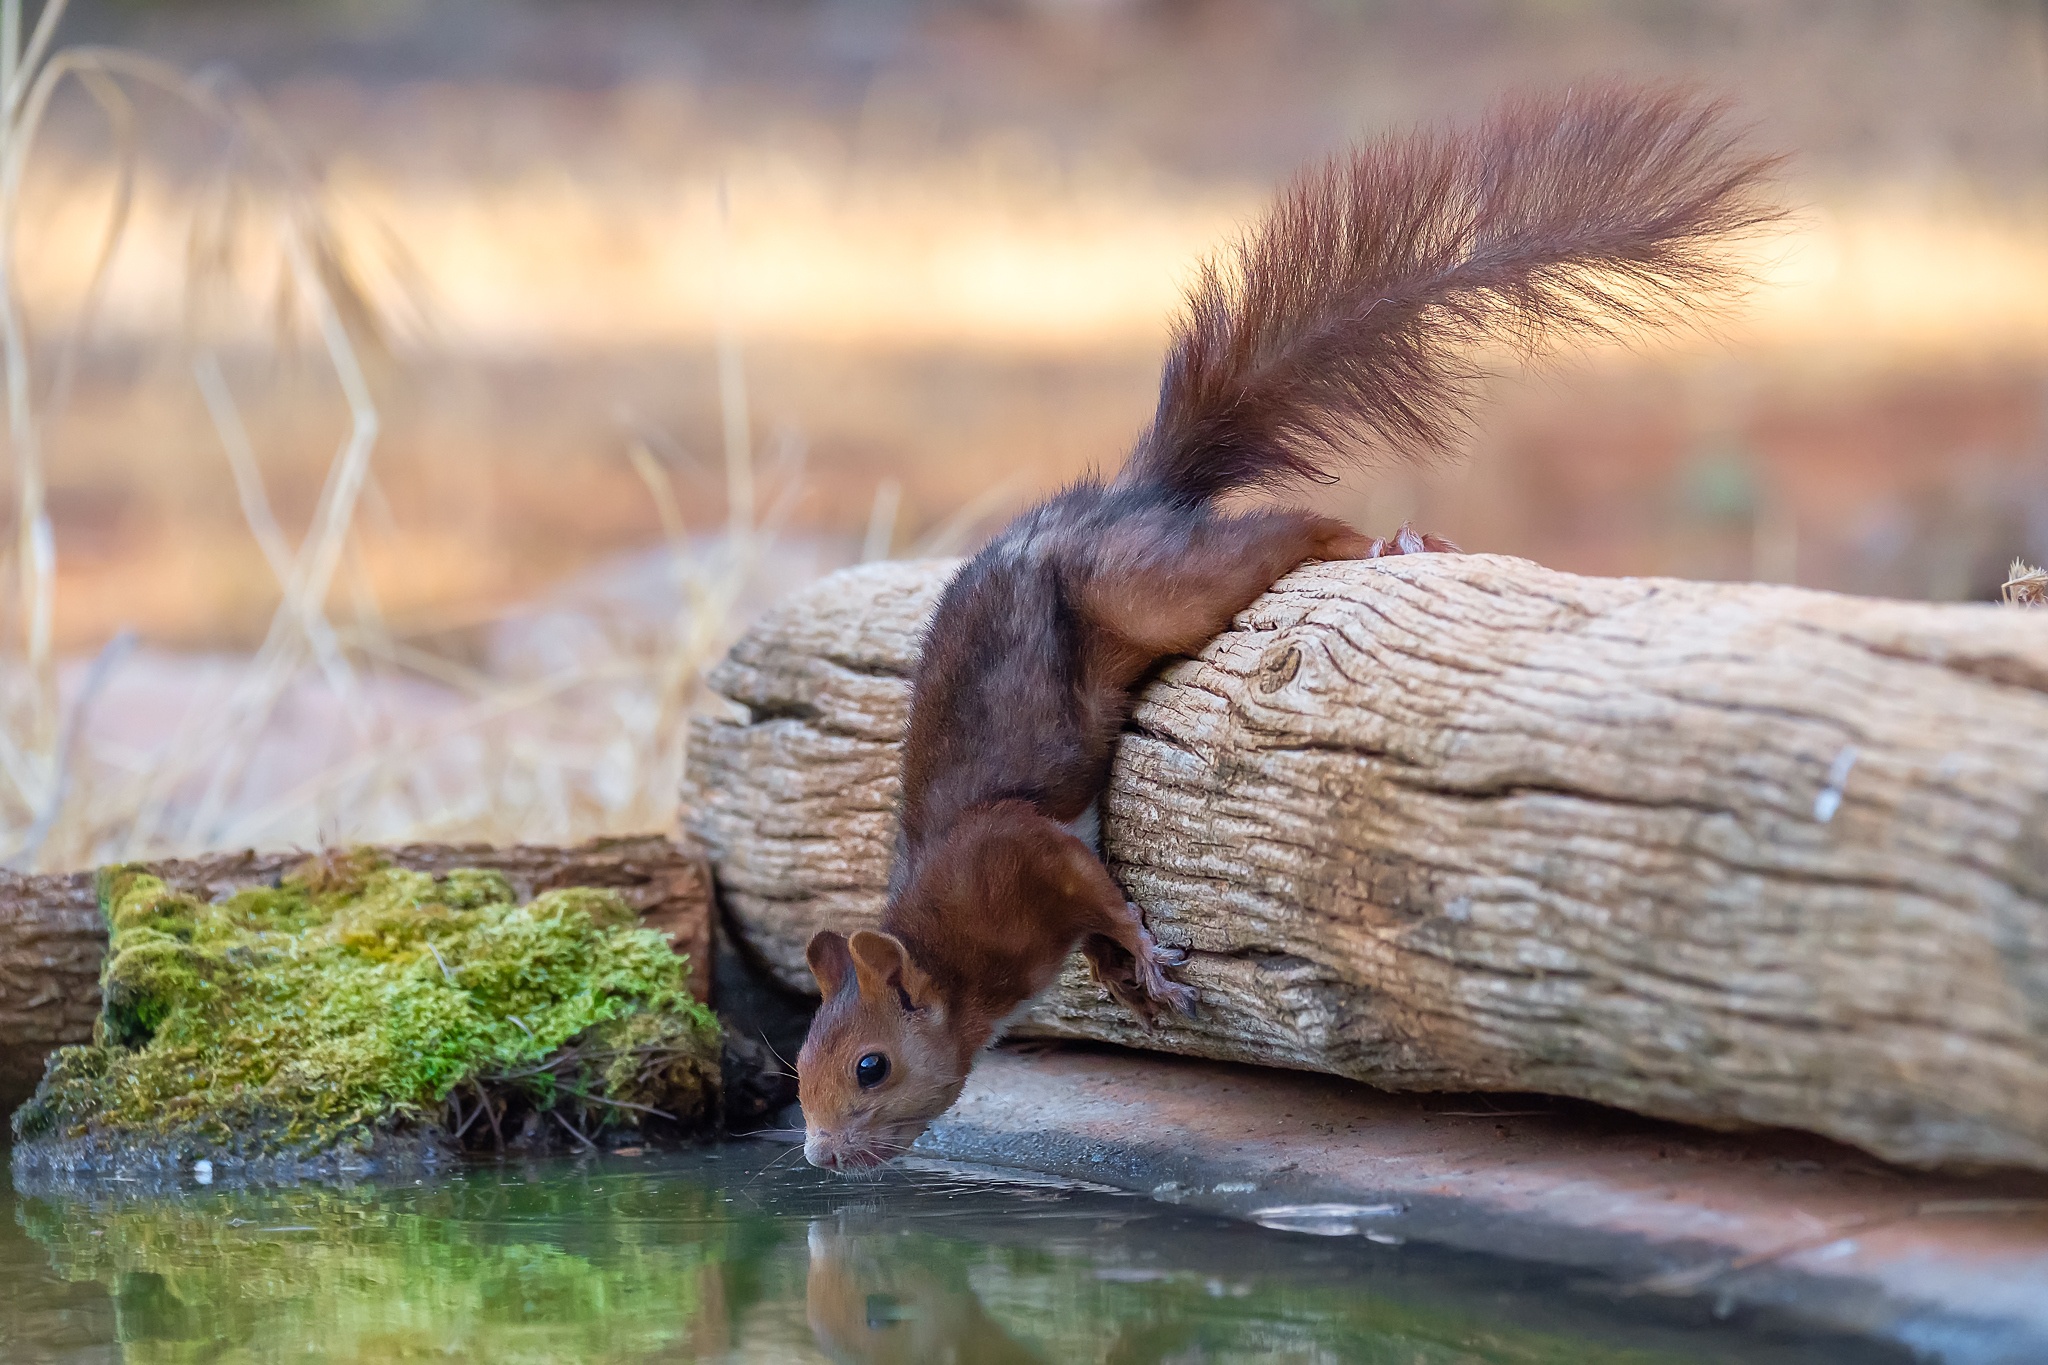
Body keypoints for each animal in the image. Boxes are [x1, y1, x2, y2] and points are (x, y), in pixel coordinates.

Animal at [790, 85, 1785, 1178]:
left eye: (870, 1067)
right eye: (798, 1066)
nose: (819, 1157)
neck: (950, 949)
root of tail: (1125, 499)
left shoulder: (1012, 851)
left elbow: (1091, 886)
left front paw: (1141, 956)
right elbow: (1097, 914)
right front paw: (1125, 972)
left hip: (1158, 588)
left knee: (1288, 532)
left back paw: (1382, 543)